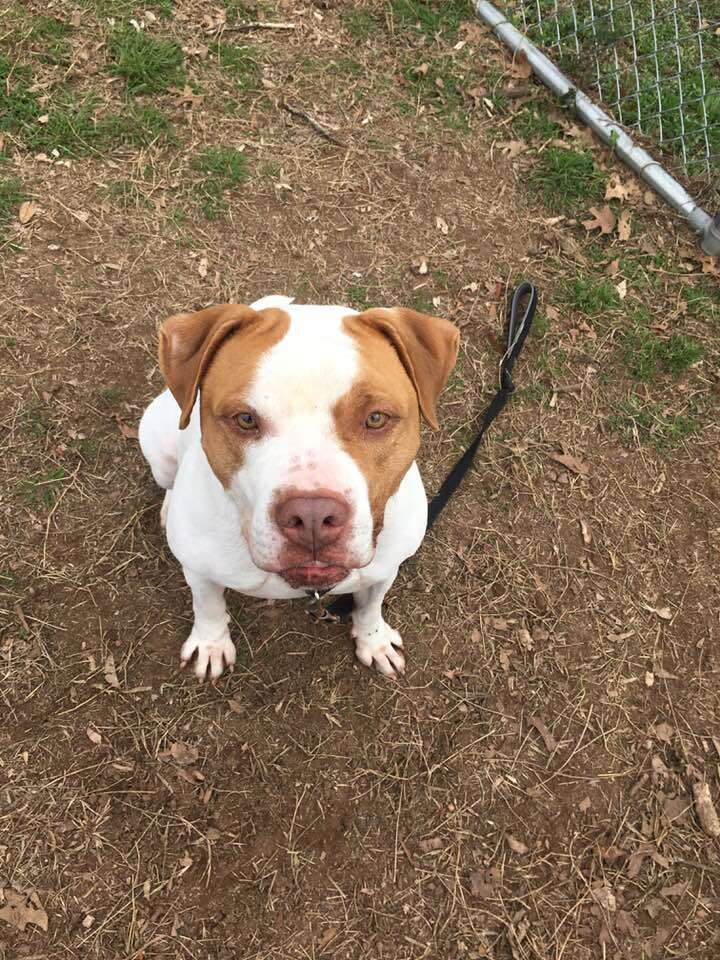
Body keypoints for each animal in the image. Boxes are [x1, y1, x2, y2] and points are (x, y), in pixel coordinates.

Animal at [138, 296, 458, 680]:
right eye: (245, 419)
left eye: (376, 418)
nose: (312, 516)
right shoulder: (200, 571)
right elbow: (208, 606)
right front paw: (211, 644)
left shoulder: (386, 568)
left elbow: (370, 605)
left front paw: (374, 640)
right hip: (157, 444)